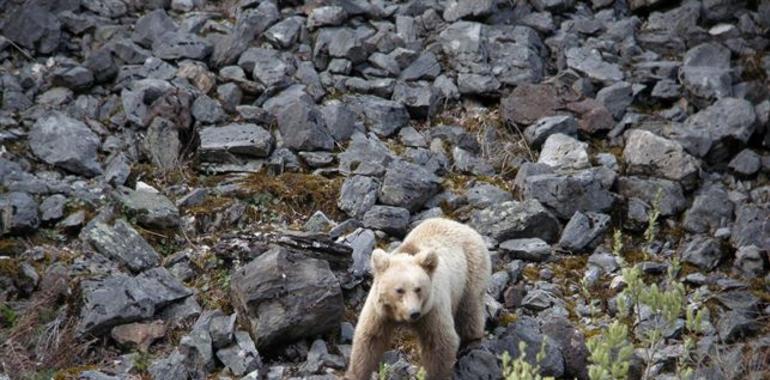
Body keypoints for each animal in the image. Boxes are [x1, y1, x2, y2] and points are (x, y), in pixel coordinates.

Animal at [344, 217, 488, 380]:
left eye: (418, 289)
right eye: (399, 290)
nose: (414, 313)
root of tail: (461, 225)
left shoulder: (432, 309)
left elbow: (440, 342)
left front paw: (437, 374)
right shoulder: (379, 310)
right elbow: (370, 339)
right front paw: (355, 373)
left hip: (471, 268)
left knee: (470, 307)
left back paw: (471, 341)